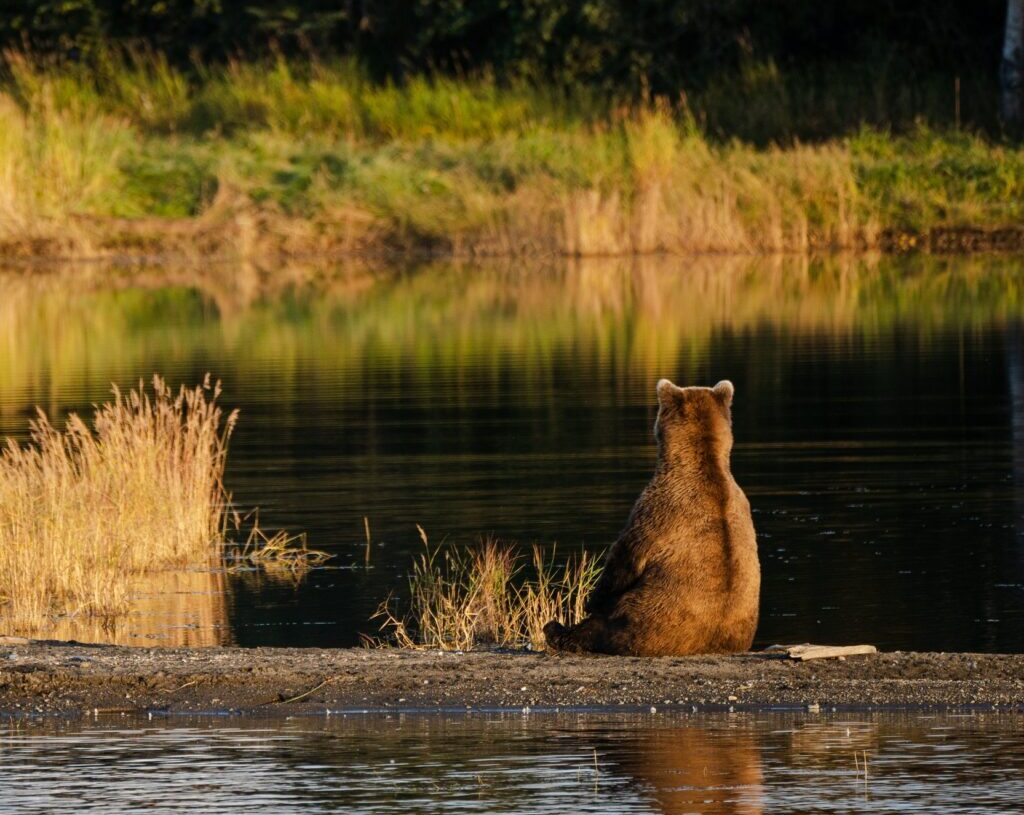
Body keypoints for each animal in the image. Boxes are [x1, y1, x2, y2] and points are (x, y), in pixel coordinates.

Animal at [544, 379, 759, 656]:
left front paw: (591, 600)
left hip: (632, 622)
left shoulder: (658, 510)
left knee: (595, 628)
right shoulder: (742, 505)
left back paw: (555, 629)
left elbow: (623, 559)